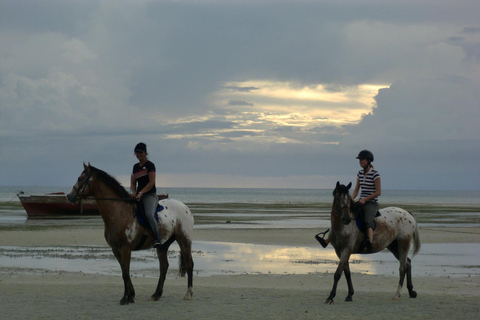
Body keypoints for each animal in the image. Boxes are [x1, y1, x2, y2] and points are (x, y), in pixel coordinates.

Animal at [67, 164, 195, 304]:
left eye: (80, 178)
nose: (69, 196)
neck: (119, 212)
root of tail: (185, 207)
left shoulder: (125, 249)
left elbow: (126, 273)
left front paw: (126, 298)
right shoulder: (116, 250)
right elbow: (124, 272)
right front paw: (131, 295)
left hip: (184, 240)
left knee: (189, 264)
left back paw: (188, 294)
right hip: (162, 246)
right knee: (164, 267)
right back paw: (156, 294)